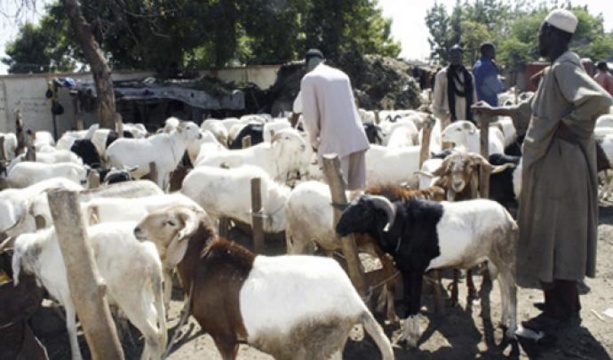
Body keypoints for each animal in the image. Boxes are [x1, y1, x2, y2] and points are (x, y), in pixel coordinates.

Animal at [13, 222, 167, 360]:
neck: (40, 251)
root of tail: (153, 259)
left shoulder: (67, 294)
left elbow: (70, 327)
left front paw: (76, 356)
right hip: (144, 292)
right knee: (154, 319)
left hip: (129, 296)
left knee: (153, 336)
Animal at [133, 205, 392, 360]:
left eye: (170, 222)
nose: (137, 229)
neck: (201, 260)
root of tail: (357, 305)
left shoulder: (224, 337)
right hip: (333, 347)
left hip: (317, 349)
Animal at [334, 195, 516, 348]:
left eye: (364, 211)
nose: (339, 228)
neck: (404, 227)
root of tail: (508, 217)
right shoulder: (406, 271)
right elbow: (408, 300)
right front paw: (404, 337)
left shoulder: (417, 272)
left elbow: (415, 301)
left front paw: (413, 339)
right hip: (494, 260)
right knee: (503, 287)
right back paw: (503, 321)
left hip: (504, 258)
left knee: (512, 288)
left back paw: (511, 332)